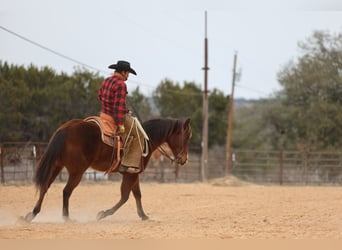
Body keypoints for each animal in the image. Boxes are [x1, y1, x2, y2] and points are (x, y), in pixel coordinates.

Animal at [22, 117, 191, 223]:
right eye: (187, 136)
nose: (184, 159)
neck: (145, 139)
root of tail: (66, 129)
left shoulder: (133, 173)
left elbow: (137, 194)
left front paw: (143, 215)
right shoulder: (131, 174)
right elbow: (125, 197)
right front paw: (102, 214)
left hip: (57, 166)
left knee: (45, 187)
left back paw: (31, 214)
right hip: (77, 172)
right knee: (66, 191)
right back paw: (67, 218)